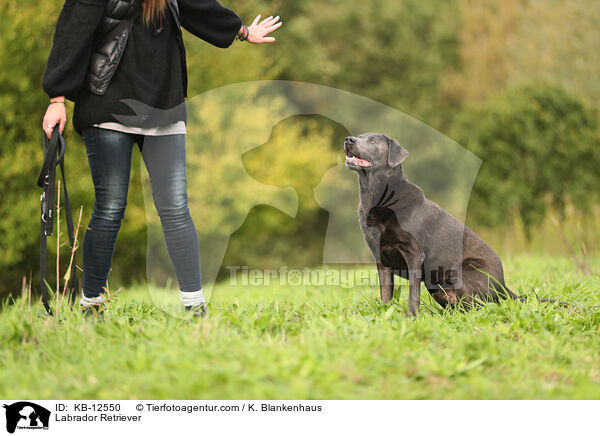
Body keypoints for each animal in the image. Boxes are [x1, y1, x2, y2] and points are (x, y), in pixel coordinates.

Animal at [344, 131, 516, 316]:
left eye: (372, 141)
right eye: (360, 136)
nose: (348, 139)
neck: (376, 197)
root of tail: (503, 286)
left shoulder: (414, 253)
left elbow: (413, 293)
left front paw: (412, 316)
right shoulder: (381, 259)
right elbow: (386, 292)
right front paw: (385, 313)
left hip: (462, 271)